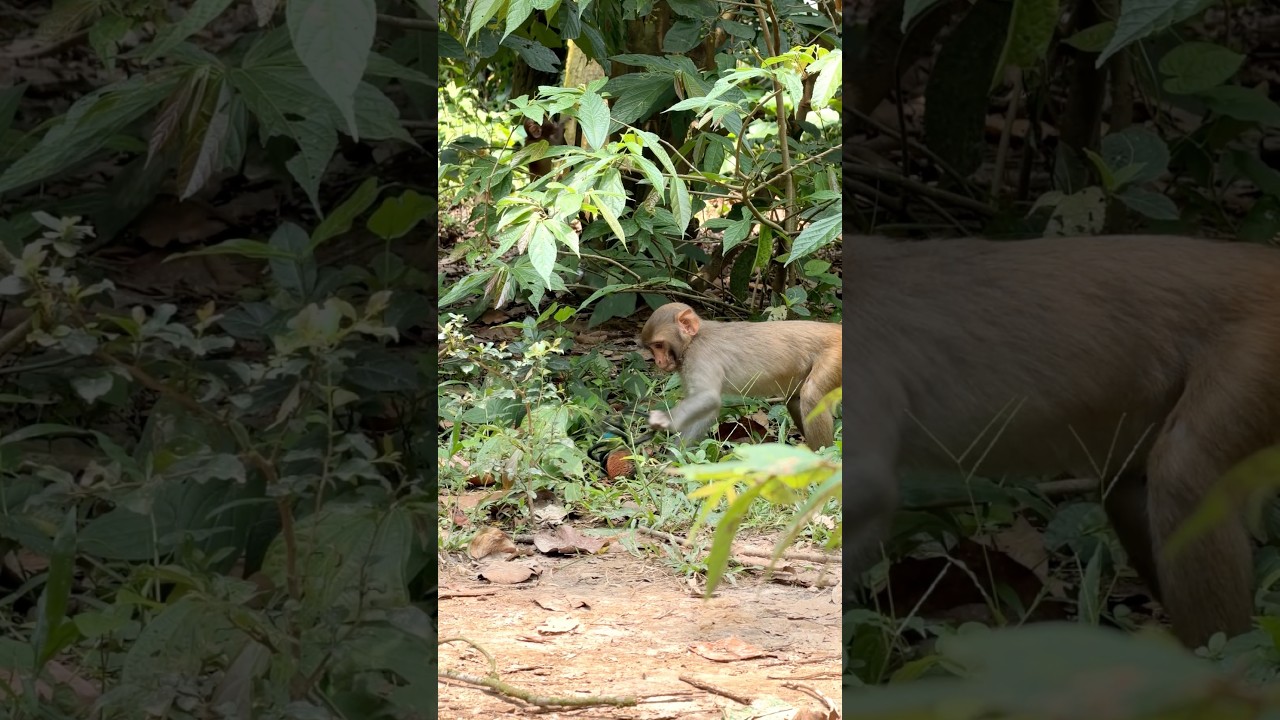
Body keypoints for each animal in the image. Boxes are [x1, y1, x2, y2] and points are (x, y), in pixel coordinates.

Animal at [640, 302, 842, 449]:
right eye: (652, 348)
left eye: (659, 345)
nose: (658, 361)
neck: (693, 340)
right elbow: (707, 410)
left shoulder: (700, 356)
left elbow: (708, 398)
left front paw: (663, 421)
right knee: (794, 399)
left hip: (835, 355)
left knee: (811, 395)